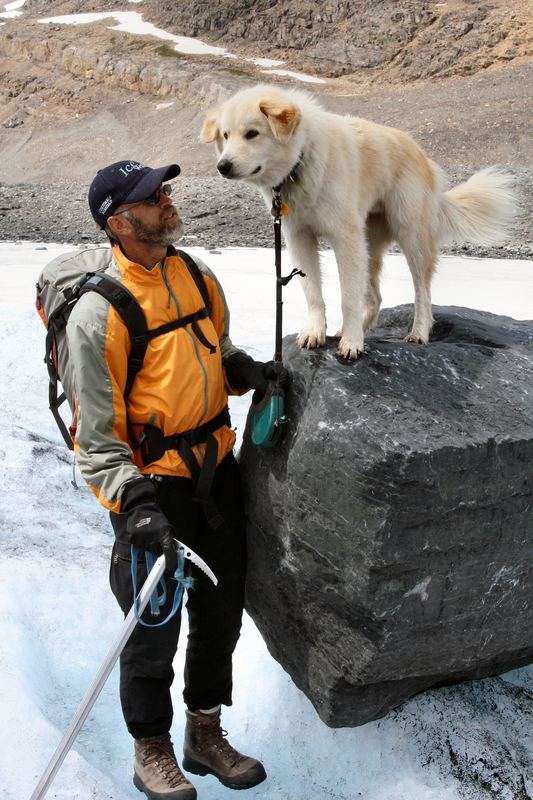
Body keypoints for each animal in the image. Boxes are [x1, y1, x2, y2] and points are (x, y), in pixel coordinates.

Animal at [200, 84, 516, 360]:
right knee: (376, 296)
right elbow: (313, 292)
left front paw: (352, 342)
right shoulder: (299, 237)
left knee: (422, 293)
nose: (222, 166)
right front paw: (317, 332)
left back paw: (418, 332)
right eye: (225, 135)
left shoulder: (346, 239)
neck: (300, 162)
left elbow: (348, 296)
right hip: (370, 246)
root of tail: (421, 153)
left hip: (410, 236)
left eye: (252, 133)